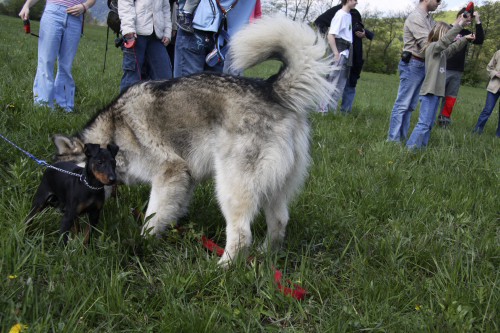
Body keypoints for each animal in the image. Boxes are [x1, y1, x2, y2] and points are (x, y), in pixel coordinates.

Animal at [51, 16, 332, 264]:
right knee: (280, 221)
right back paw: (265, 255)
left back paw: (222, 268)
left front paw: (143, 241)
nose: (55, 205)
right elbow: (169, 210)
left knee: (241, 234)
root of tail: (271, 89)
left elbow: (152, 216)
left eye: (67, 176)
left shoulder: (169, 172)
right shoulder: (184, 180)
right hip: (274, 187)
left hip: (231, 186)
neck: (112, 136)